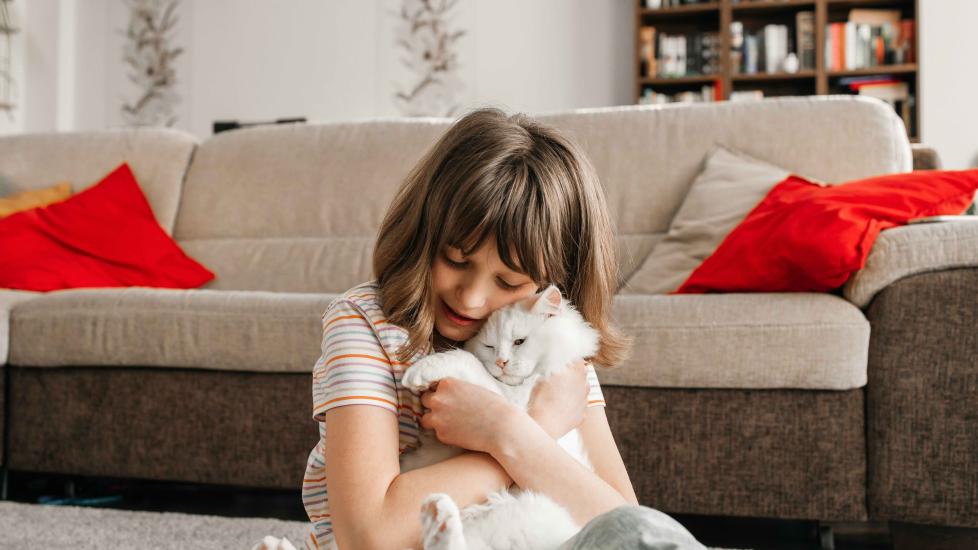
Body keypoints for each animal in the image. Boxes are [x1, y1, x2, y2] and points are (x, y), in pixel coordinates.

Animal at [394, 286, 596, 550]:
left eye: (519, 341)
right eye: (489, 346)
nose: (501, 362)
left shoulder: (513, 404)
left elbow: (465, 359)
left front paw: (419, 373)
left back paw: (438, 515)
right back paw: (437, 514)